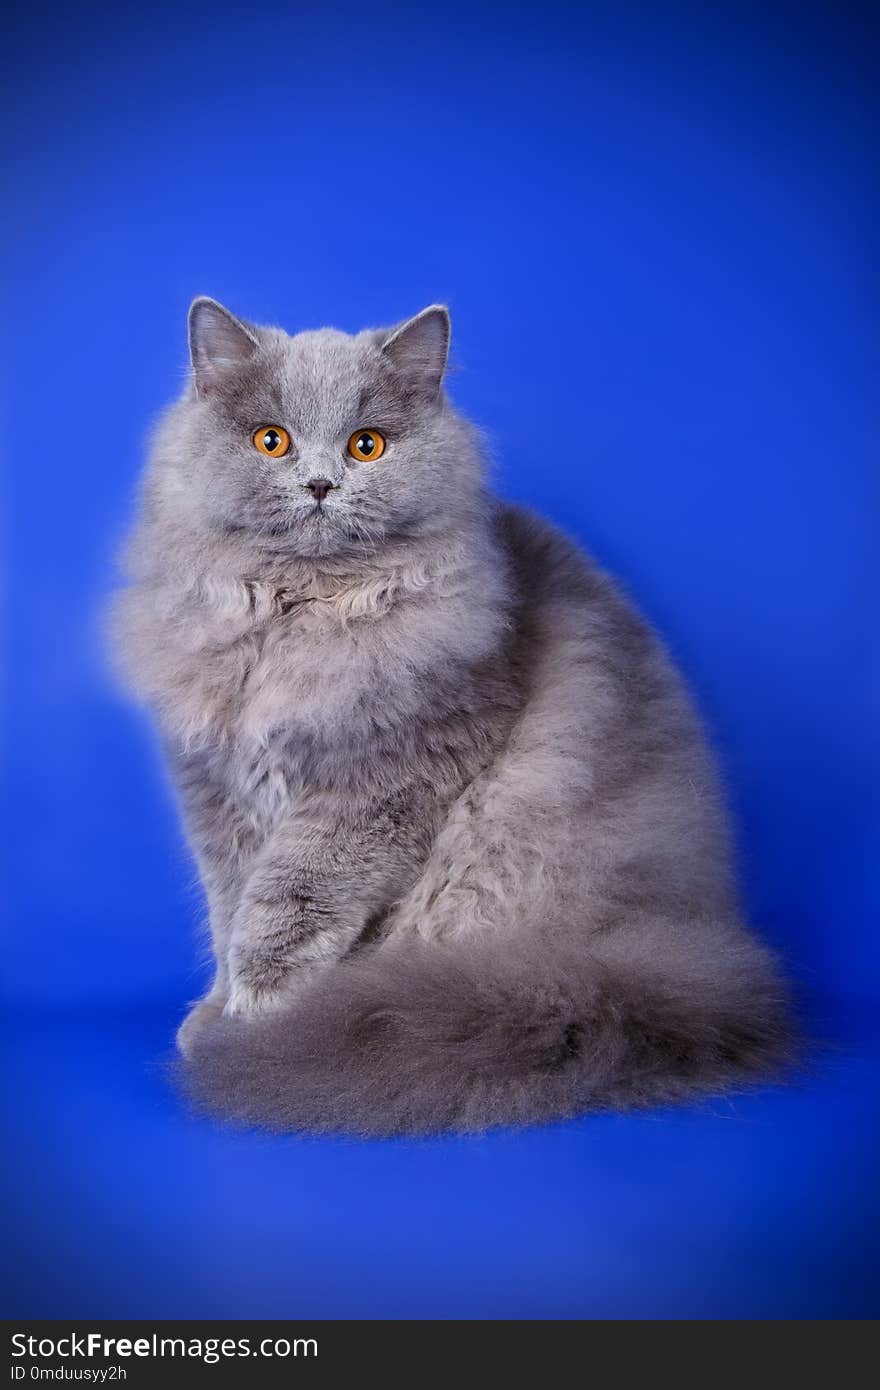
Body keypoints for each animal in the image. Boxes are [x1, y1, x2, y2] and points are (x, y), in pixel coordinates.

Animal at [113, 298, 795, 1134]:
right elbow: (228, 909)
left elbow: (284, 911)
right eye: (271, 440)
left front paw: (257, 1026)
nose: (319, 484)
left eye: (366, 445)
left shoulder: (378, 788)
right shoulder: (219, 793)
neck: (298, 626)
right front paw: (217, 1013)